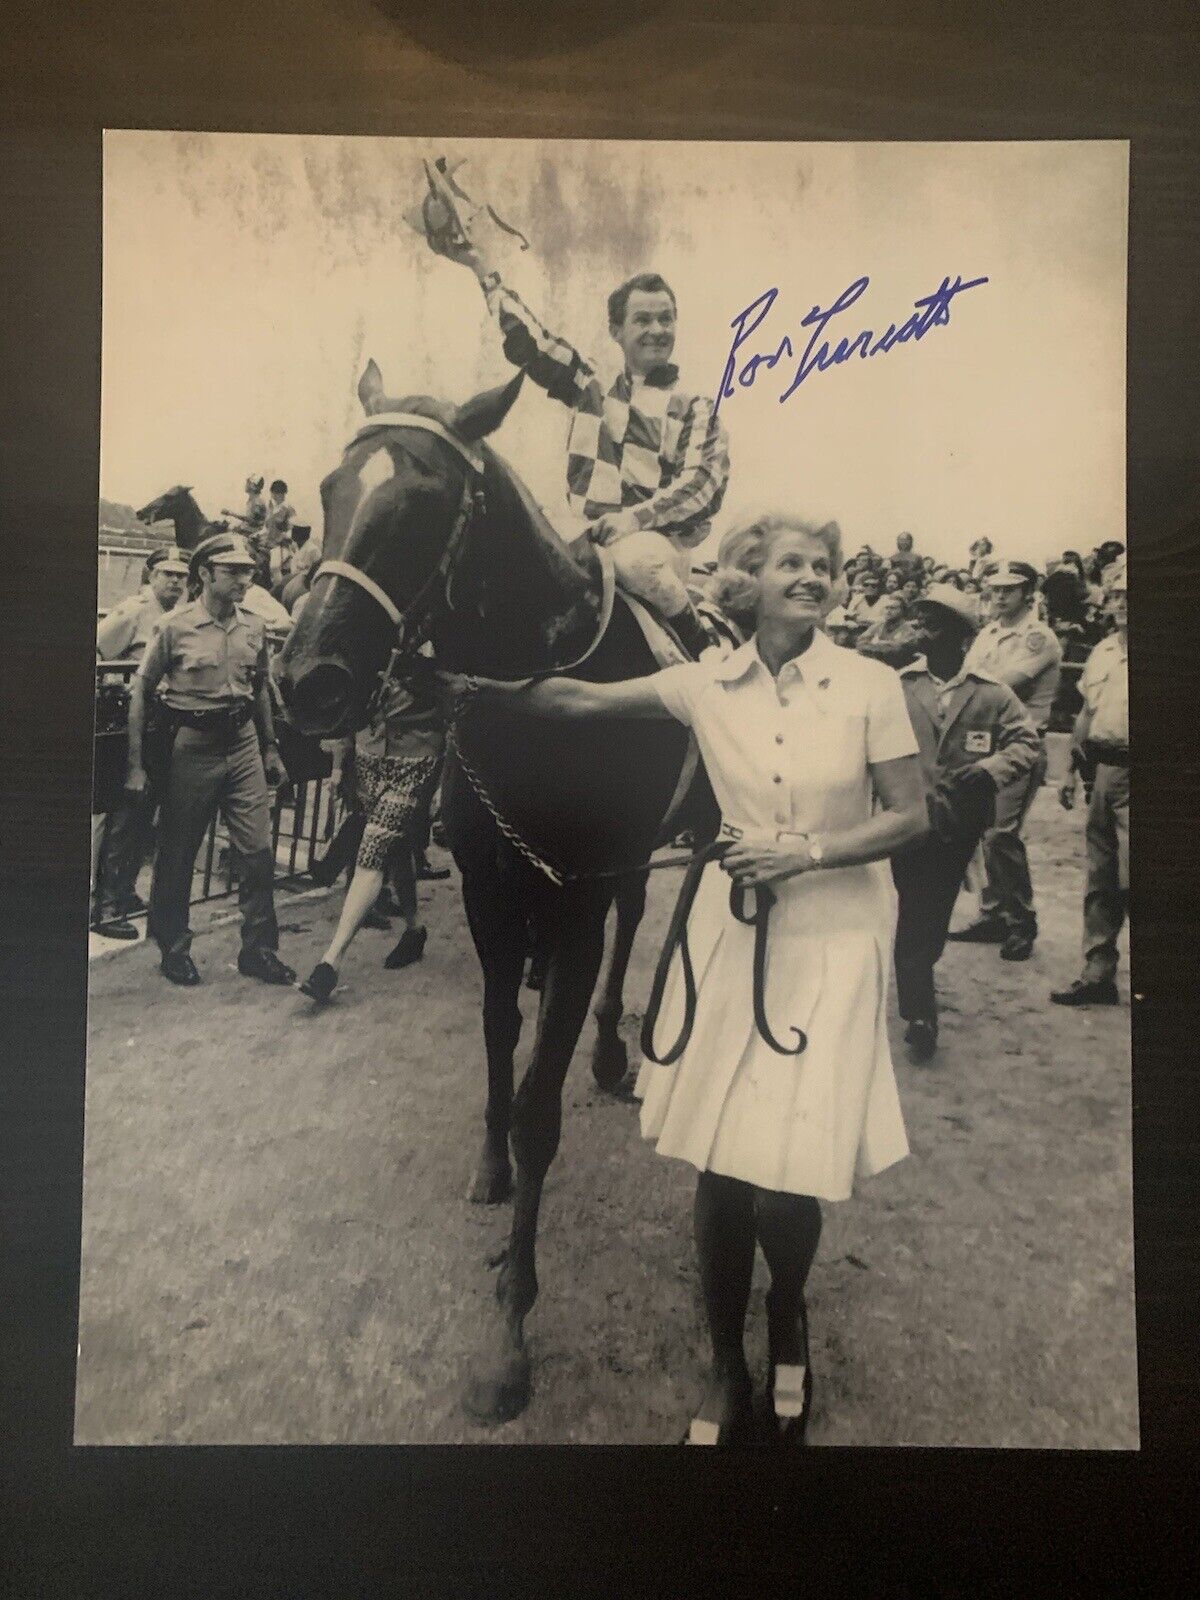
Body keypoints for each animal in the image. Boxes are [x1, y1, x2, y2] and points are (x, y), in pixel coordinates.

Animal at [280, 366, 713, 1427]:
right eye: (329, 488)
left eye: (424, 500)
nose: (310, 681)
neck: (537, 691)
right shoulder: (493, 887)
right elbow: (493, 1032)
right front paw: (489, 1166)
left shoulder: (570, 900)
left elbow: (537, 1106)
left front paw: (510, 1333)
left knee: (669, 915)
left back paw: (640, 1039)